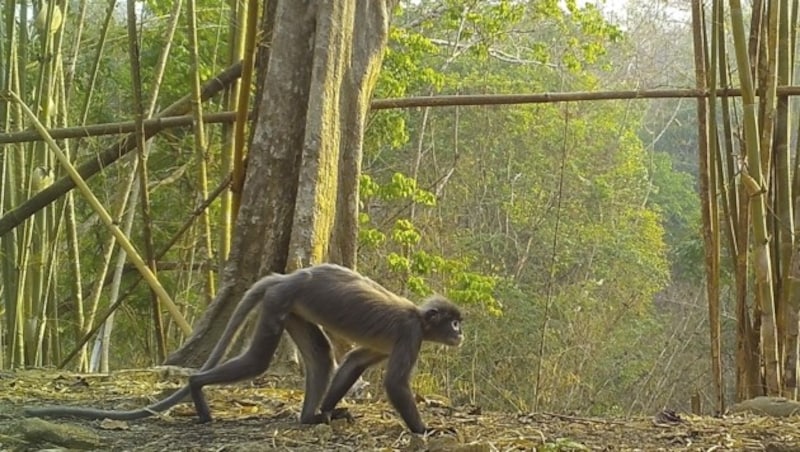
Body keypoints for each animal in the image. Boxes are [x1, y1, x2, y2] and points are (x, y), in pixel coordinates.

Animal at [26, 264, 462, 434]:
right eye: (454, 321)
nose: (460, 334)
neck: (420, 318)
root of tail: (288, 276)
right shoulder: (410, 333)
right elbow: (394, 384)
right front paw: (427, 429)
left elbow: (355, 360)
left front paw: (328, 411)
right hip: (281, 301)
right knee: (257, 361)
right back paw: (197, 388)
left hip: (290, 307)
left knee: (321, 355)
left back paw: (310, 418)